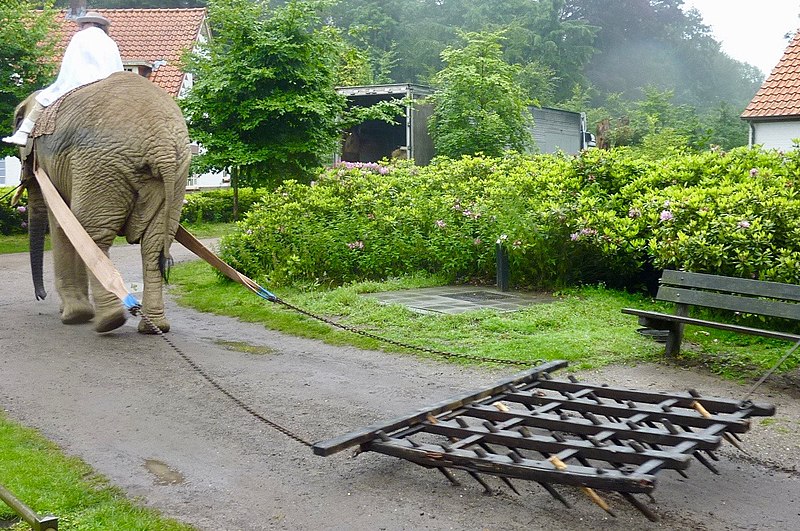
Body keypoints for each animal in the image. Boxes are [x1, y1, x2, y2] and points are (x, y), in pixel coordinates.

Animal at [14, 71, 193, 332]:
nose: (41, 296)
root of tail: (162, 148)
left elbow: (61, 223)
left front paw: (73, 316)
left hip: (101, 166)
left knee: (93, 234)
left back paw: (109, 322)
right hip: (176, 174)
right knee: (155, 242)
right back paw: (152, 327)